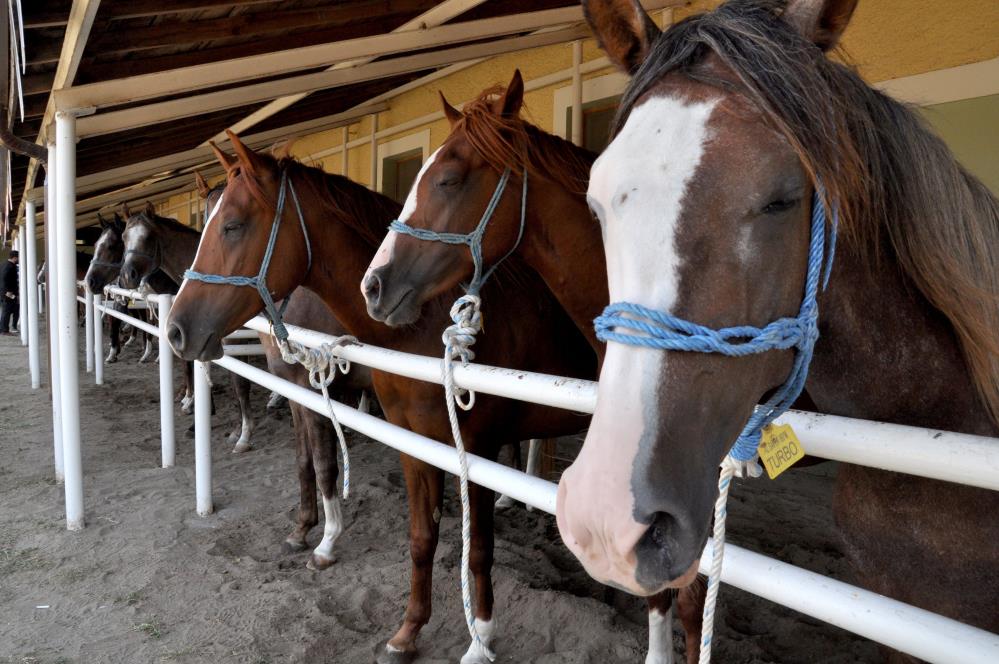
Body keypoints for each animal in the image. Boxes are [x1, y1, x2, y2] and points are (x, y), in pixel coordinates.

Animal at [167, 132, 596, 660]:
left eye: (231, 226)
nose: (177, 329)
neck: (425, 326)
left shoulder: (469, 447)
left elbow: (475, 546)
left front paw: (480, 639)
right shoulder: (400, 436)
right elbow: (412, 529)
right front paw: (405, 629)